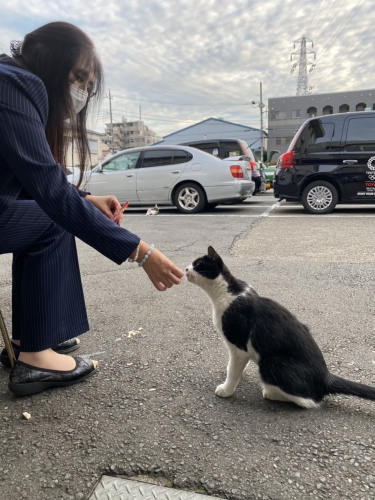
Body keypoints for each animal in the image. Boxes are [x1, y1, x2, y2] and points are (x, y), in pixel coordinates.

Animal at [186, 245, 375, 406]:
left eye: (198, 265)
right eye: (192, 264)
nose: (186, 268)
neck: (228, 293)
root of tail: (326, 377)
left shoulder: (239, 346)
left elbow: (234, 369)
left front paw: (226, 389)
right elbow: (235, 366)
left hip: (272, 363)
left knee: (309, 401)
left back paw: (271, 393)